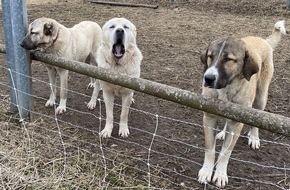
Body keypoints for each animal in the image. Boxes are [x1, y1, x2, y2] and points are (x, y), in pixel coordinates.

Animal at [198, 20, 286, 187]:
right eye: (210, 56)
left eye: (228, 59)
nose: (208, 78)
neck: (226, 88)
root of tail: (262, 40)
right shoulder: (209, 116)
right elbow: (210, 149)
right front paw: (206, 171)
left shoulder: (237, 122)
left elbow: (225, 153)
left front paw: (220, 174)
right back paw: (222, 133)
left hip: (261, 97)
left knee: (257, 119)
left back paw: (254, 138)